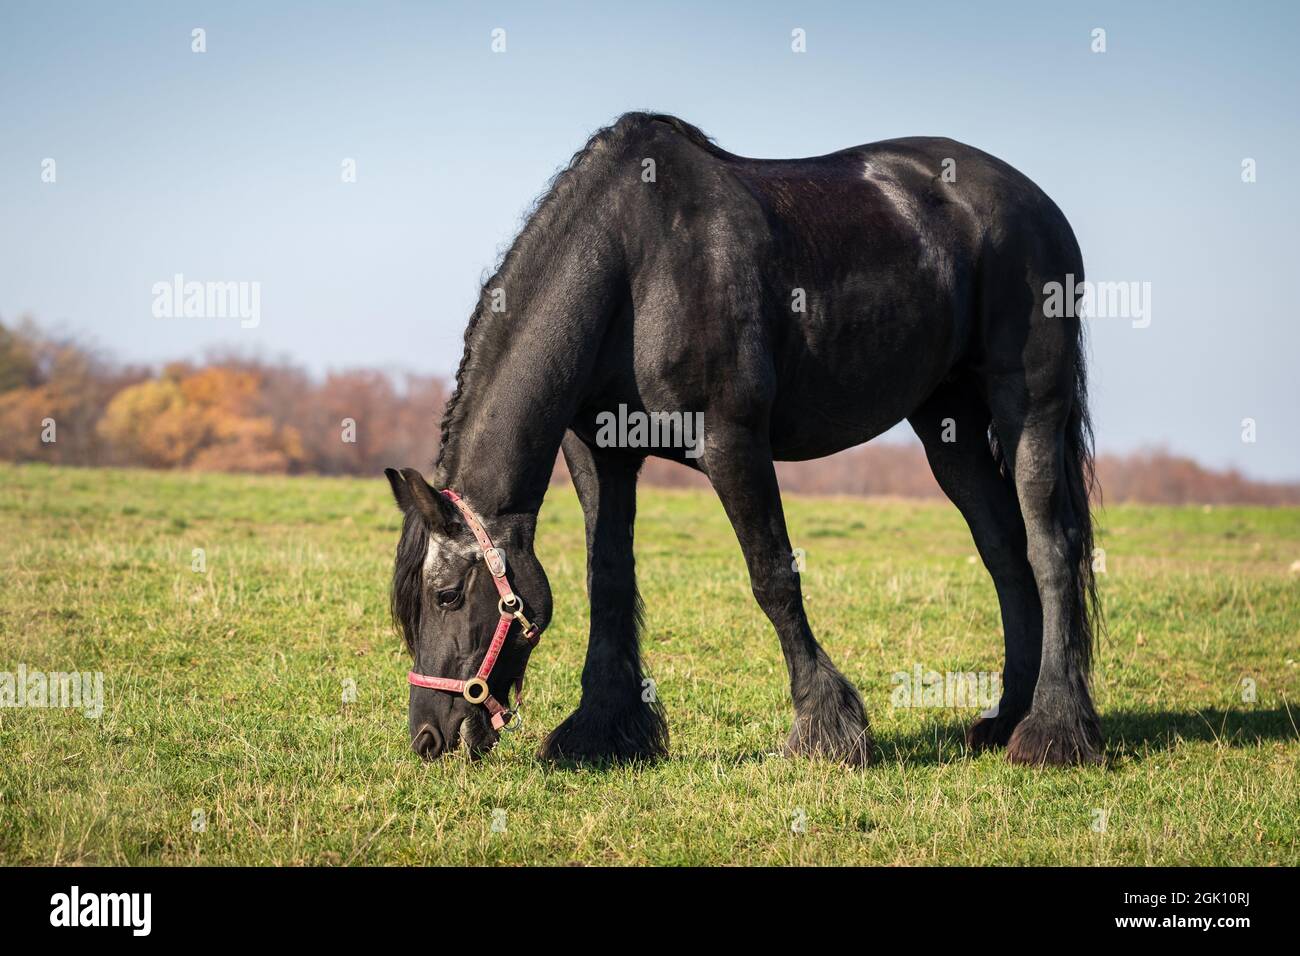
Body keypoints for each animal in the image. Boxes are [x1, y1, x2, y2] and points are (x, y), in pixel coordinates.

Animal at [386, 112, 1102, 768]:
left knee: (1051, 547)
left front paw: (826, 730)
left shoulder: (732, 444)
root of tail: (1035, 203)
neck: (634, 265)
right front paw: (602, 729)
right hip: (947, 427)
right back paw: (1007, 717)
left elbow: (772, 576)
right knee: (1005, 551)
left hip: (1029, 408)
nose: (429, 738)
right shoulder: (600, 453)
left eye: (447, 596)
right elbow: (607, 579)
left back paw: (1054, 730)